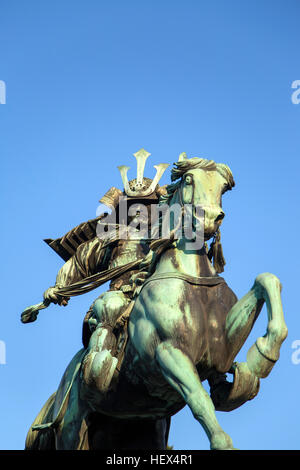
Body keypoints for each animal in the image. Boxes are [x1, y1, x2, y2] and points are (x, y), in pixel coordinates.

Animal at [26, 156, 288, 450]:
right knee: (108, 310)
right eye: (189, 179)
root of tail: (57, 395)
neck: (190, 279)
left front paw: (262, 356)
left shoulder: (222, 348)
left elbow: (267, 280)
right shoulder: (169, 352)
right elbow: (199, 400)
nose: (209, 218)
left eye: (224, 186)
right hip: (72, 430)